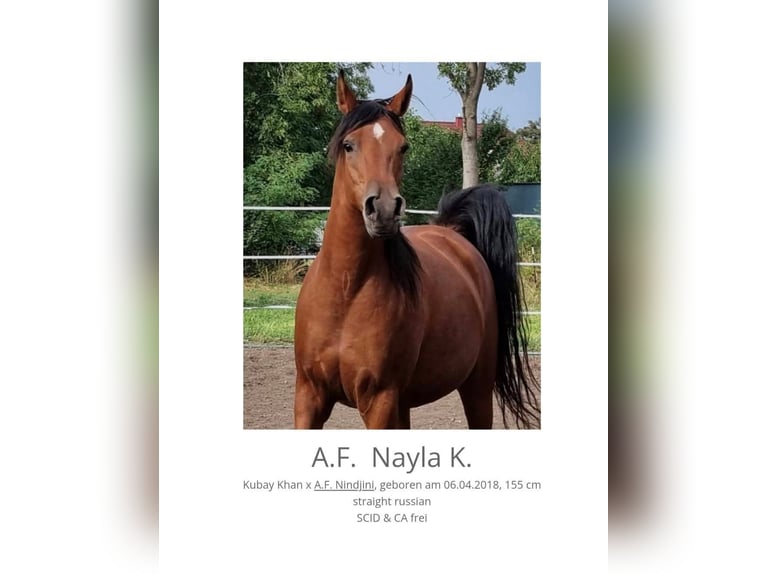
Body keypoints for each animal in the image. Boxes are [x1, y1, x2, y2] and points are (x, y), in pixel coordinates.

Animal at [293, 71, 540, 429]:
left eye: (403, 147)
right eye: (349, 145)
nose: (383, 209)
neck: (345, 289)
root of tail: (453, 234)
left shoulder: (379, 401)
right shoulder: (309, 397)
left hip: (476, 388)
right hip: (405, 400)